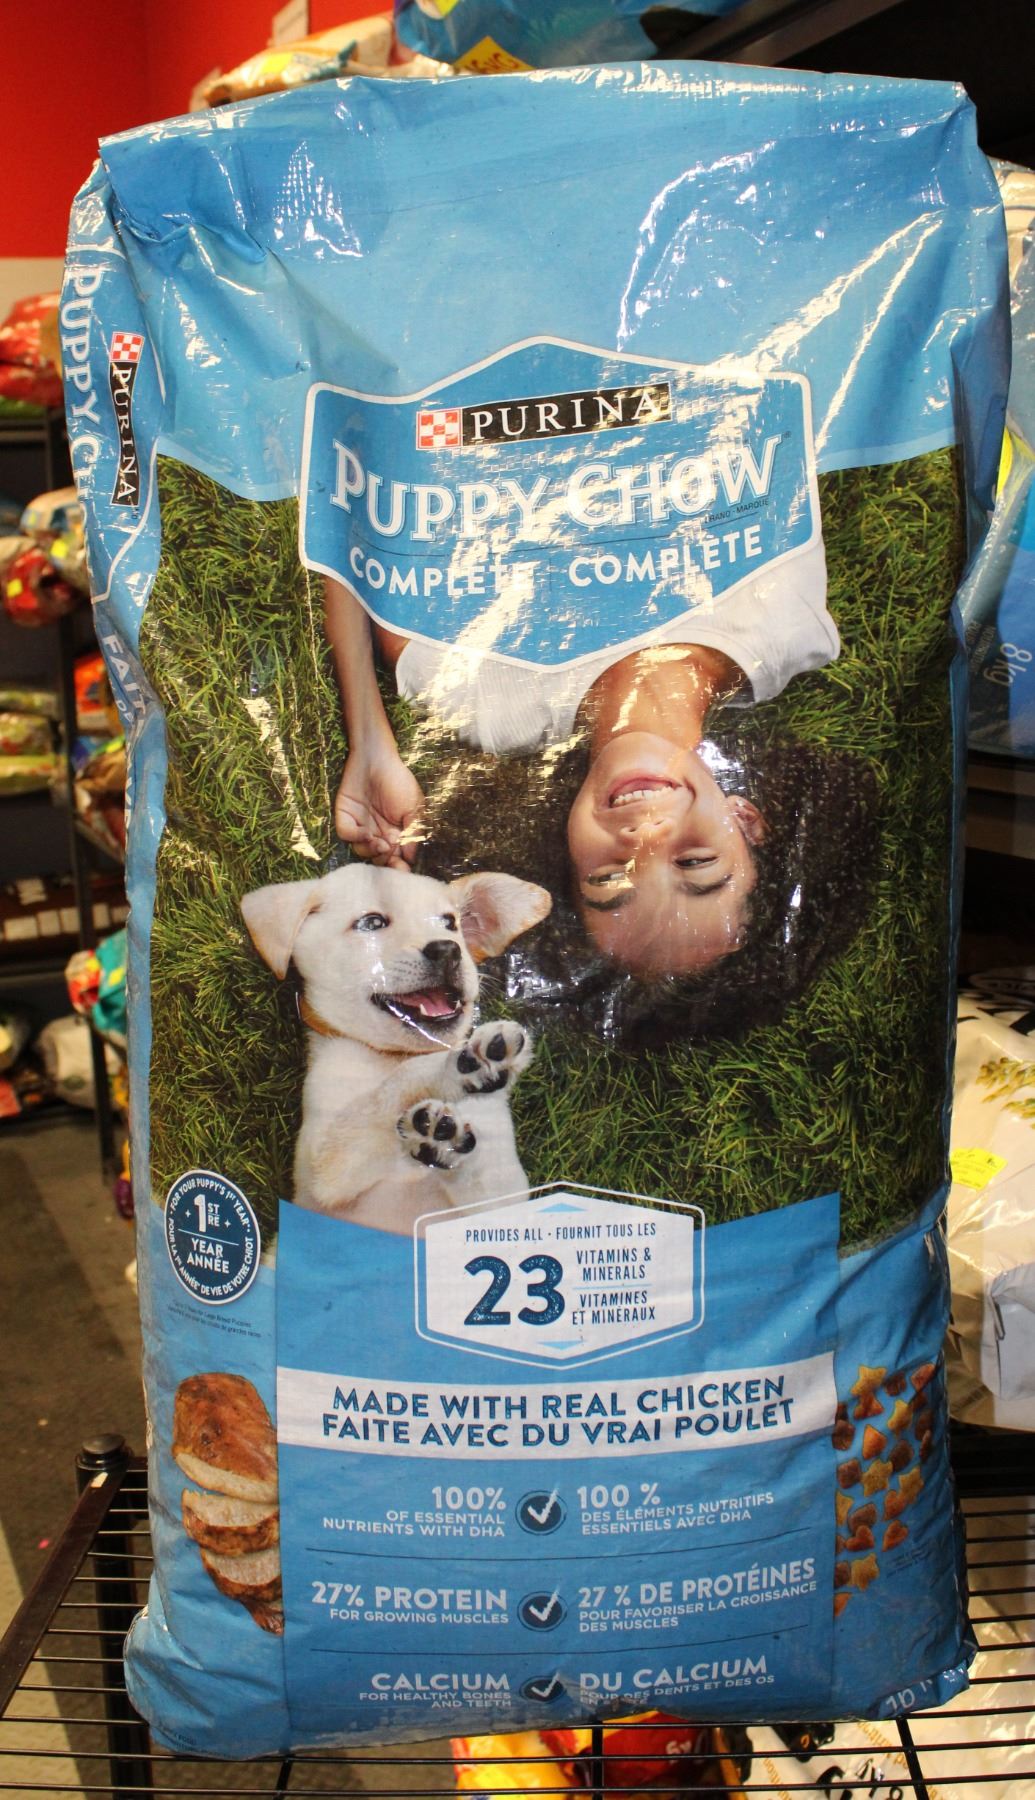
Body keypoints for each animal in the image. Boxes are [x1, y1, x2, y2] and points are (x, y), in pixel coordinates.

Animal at [241, 863, 551, 1233]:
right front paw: (454, 1067)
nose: (448, 950)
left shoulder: (507, 1200)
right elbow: (388, 1090)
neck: (392, 1055)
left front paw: (446, 1141)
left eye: (451, 923)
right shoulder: (323, 1169)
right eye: (372, 923)